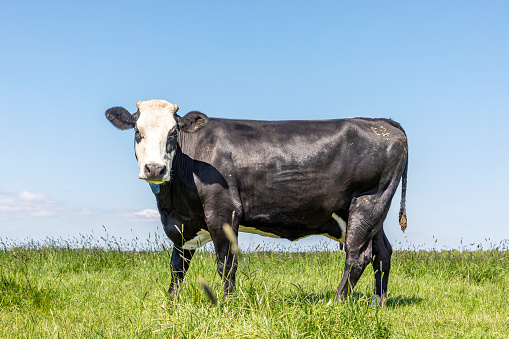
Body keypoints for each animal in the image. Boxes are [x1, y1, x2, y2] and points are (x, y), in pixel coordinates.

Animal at [105, 99, 406, 304]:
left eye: (172, 133)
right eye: (137, 132)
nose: (154, 169)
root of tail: (382, 122)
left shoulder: (223, 212)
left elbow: (226, 264)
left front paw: (226, 305)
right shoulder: (182, 223)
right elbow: (177, 266)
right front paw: (171, 304)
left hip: (368, 202)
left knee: (357, 255)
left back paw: (336, 302)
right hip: (370, 214)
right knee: (382, 253)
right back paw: (377, 303)